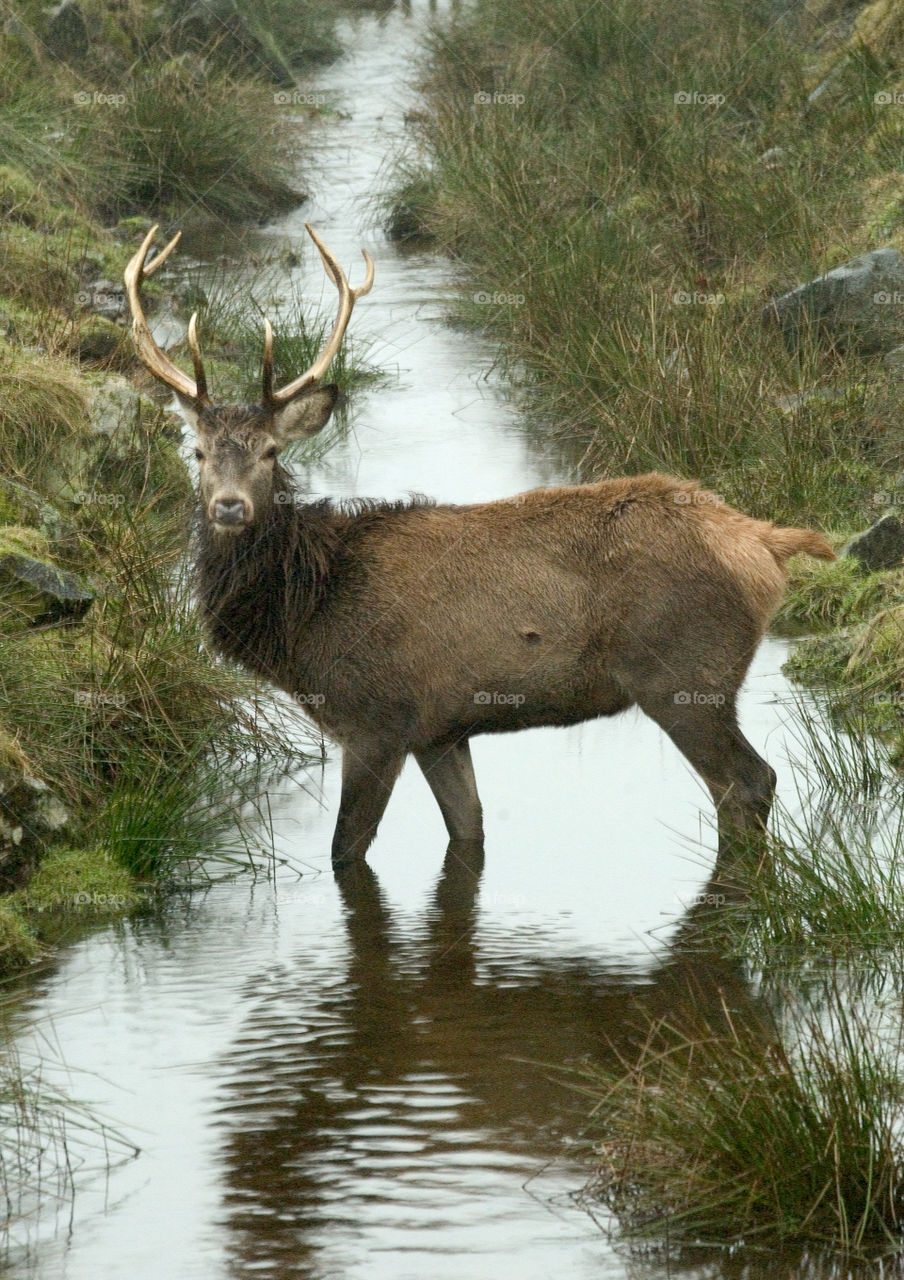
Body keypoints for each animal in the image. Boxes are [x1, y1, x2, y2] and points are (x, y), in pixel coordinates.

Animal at [125, 225, 836, 872]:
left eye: (271, 452)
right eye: (196, 451)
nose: (229, 507)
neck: (307, 612)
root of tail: (765, 543)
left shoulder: (377, 719)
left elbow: (345, 853)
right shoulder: (442, 730)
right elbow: (468, 835)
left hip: (685, 676)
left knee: (748, 784)